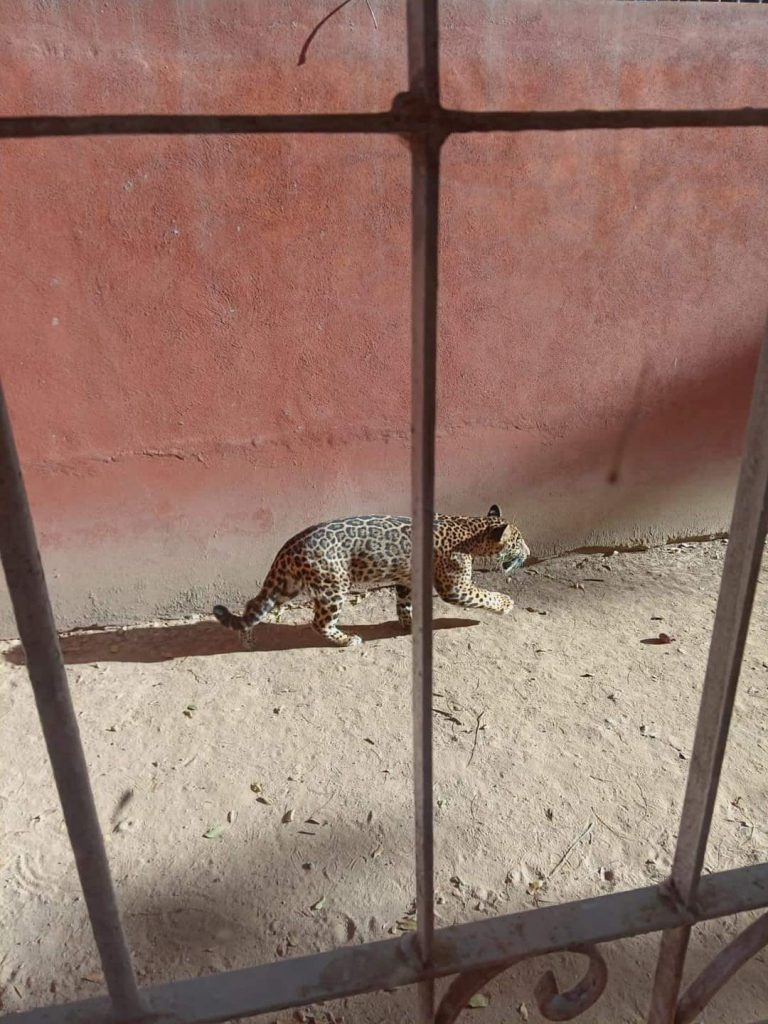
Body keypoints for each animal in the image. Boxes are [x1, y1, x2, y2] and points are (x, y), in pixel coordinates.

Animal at [212, 504, 529, 649]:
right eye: (518, 542)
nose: (528, 552)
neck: (470, 529)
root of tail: (288, 547)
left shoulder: (406, 580)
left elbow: (404, 605)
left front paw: (410, 625)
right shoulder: (456, 586)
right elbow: (484, 595)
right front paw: (506, 604)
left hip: (286, 584)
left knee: (254, 605)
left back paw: (247, 637)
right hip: (333, 587)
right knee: (319, 622)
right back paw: (347, 639)